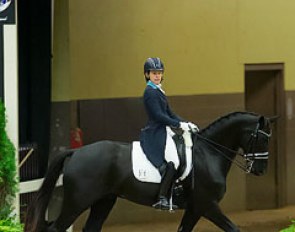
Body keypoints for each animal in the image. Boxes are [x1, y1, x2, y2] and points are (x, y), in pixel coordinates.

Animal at [25, 111, 276, 231]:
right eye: (262, 139)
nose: (260, 170)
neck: (209, 154)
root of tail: (75, 152)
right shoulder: (208, 205)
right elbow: (234, 229)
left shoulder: (195, 208)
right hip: (77, 201)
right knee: (54, 228)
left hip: (104, 201)